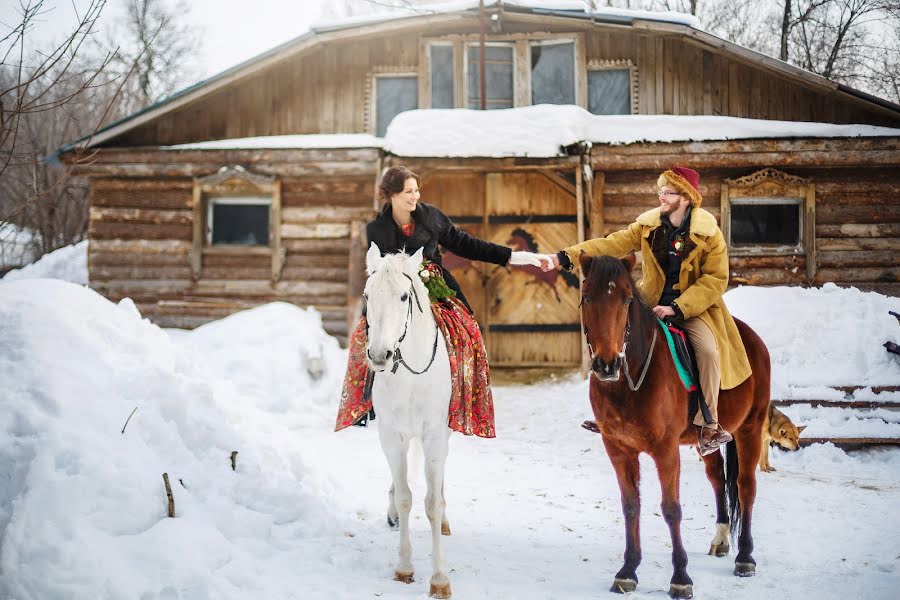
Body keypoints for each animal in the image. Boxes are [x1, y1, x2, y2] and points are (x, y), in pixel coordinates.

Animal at [362, 241, 454, 596]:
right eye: (367, 296)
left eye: (404, 297)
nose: (379, 355)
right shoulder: (392, 436)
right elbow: (404, 499)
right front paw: (404, 567)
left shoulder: (434, 435)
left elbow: (431, 503)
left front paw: (440, 578)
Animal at [580, 253, 768, 600]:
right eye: (587, 297)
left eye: (626, 299)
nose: (606, 364)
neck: (630, 378)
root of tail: (752, 339)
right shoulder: (618, 449)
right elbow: (631, 505)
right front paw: (628, 571)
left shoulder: (665, 450)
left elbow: (671, 508)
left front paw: (680, 577)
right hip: (706, 441)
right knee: (718, 478)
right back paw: (721, 539)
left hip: (751, 427)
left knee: (745, 486)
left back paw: (745, 557)